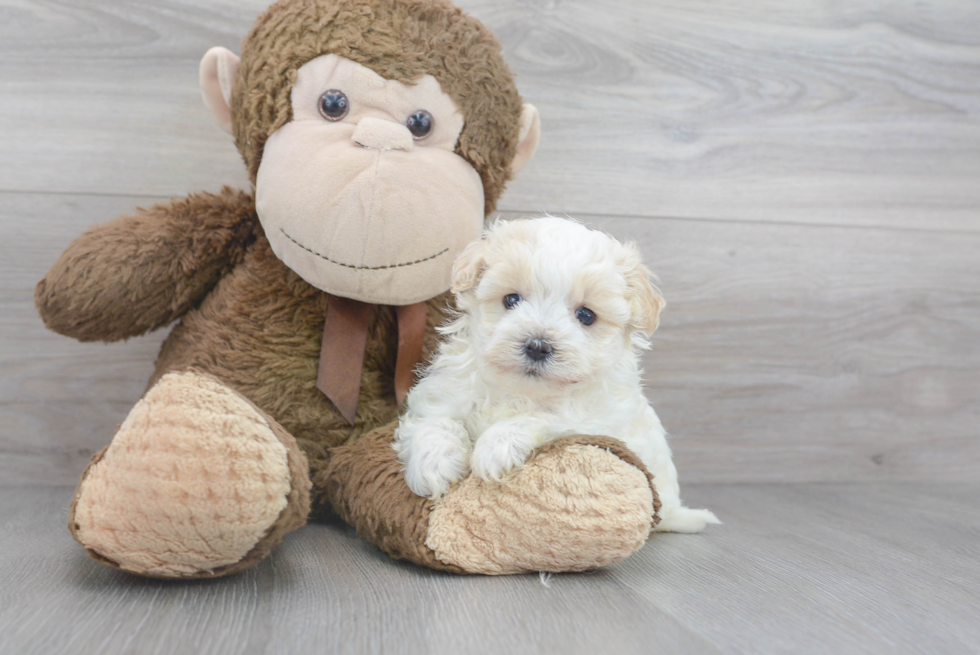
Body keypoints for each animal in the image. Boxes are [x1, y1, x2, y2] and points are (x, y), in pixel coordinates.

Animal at [392, 218, 720, 536]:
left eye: (586, 315)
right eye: (511, 299)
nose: (537, 346)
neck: (522, 391)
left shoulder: (598, 421)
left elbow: (544, 417)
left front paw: (495, 447)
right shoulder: (443, 394)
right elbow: (435, 421)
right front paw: (434, 464)